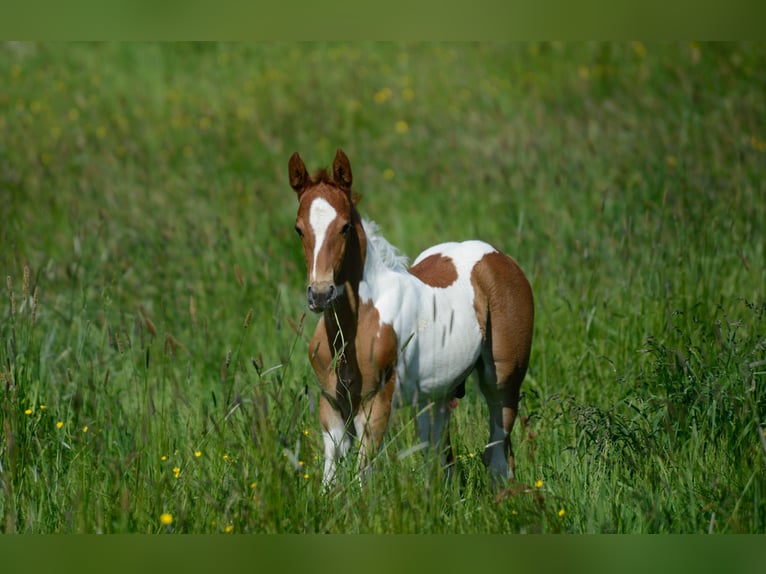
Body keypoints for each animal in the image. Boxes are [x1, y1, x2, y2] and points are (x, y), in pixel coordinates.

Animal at [288, 148, 536, 486]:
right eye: (299, 229)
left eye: (345, 227)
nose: (321, 293)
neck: (355, 325)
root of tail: (498, 256)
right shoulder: (332, 403)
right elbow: (331, 472)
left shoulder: (377, 402)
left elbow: (364, 473)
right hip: (436, 395)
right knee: (441, 458)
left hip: (503, 381)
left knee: (498, 454)